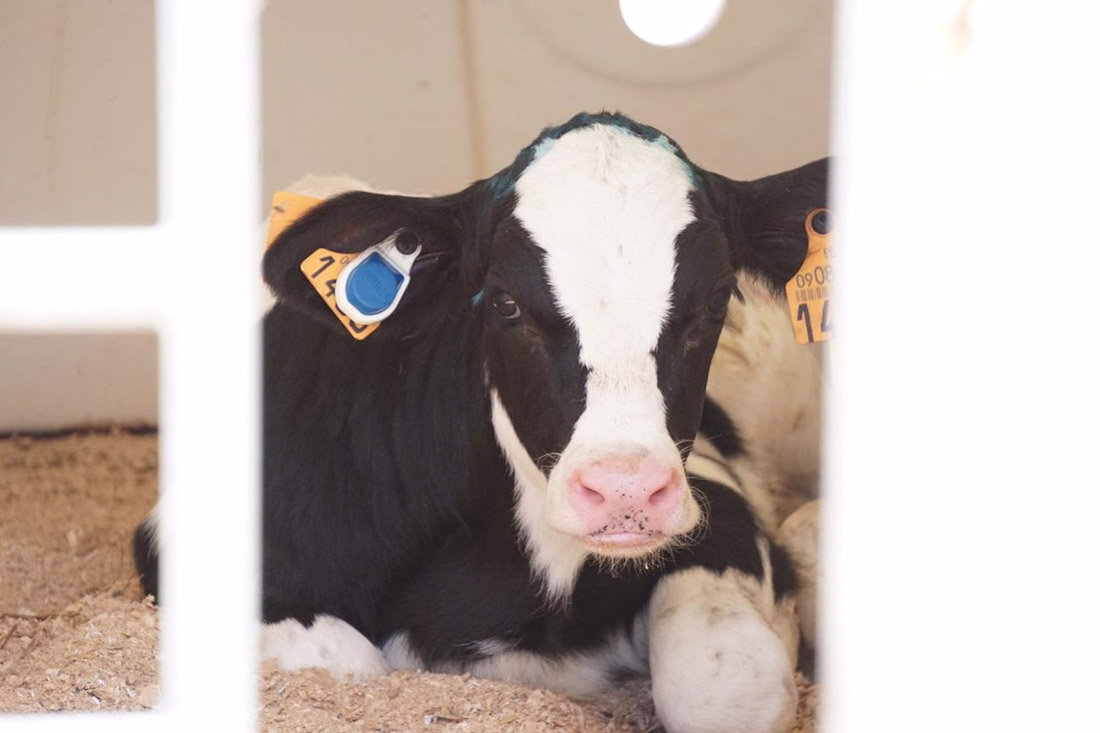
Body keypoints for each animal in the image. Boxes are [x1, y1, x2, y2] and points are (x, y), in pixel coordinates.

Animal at [134, 112, 827, 733]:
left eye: (717, 299)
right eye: (505, 302)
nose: (623, 491)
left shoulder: (716, 501)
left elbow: (723, 691)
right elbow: (348, 664)